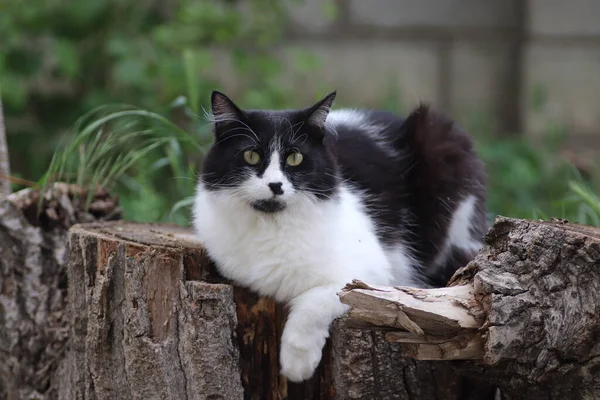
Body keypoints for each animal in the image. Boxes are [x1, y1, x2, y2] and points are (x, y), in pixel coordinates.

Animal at [192, 89, 488, 382]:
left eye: (295, 158)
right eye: (251, 156)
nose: (275, 185)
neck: (272, 226)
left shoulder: (370, 276)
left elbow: (315, 302)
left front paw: (297, 365)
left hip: (440, 139)